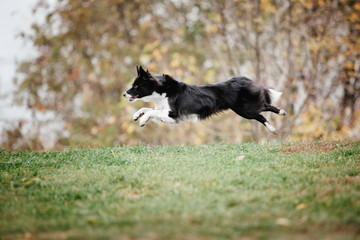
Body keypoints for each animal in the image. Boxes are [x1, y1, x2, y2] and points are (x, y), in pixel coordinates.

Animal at [124, 65, 286, 134]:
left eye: (136, 86)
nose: (124, 94)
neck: (163, 90)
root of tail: (242, 79)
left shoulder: (174, 114)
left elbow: (150, 112)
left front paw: (142, 120)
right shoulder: (164, 112)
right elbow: (146, 109)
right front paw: (136, 115)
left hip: (246, 108)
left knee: (266, 106)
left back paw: (282, 112)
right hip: (242, 111)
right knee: (260, 116)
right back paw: (273, 129)